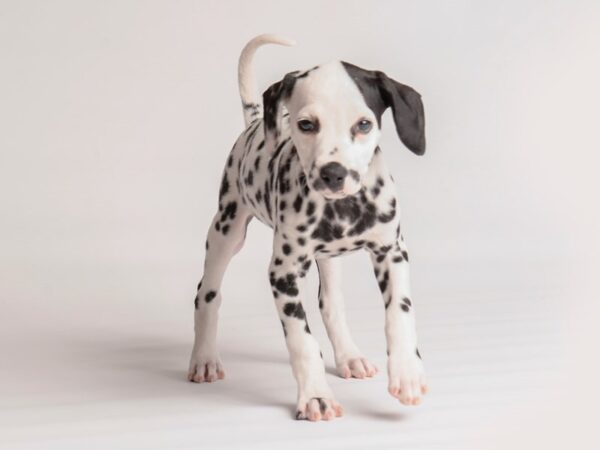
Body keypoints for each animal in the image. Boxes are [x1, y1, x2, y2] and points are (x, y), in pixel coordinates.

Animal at [190, 33, 428, 420]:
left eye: (363, 125)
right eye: (306, 125)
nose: (333, 174)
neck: (343, 208)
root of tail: (254, 123)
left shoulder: (391, 252)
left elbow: (400, 313)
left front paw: (407, 373)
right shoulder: (283, 274)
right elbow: (302, 341)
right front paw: (316, 395)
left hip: (328, 259)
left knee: (330, 302)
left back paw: (349, 356)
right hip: (227, 229)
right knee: (207, 294)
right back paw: (204, 359)